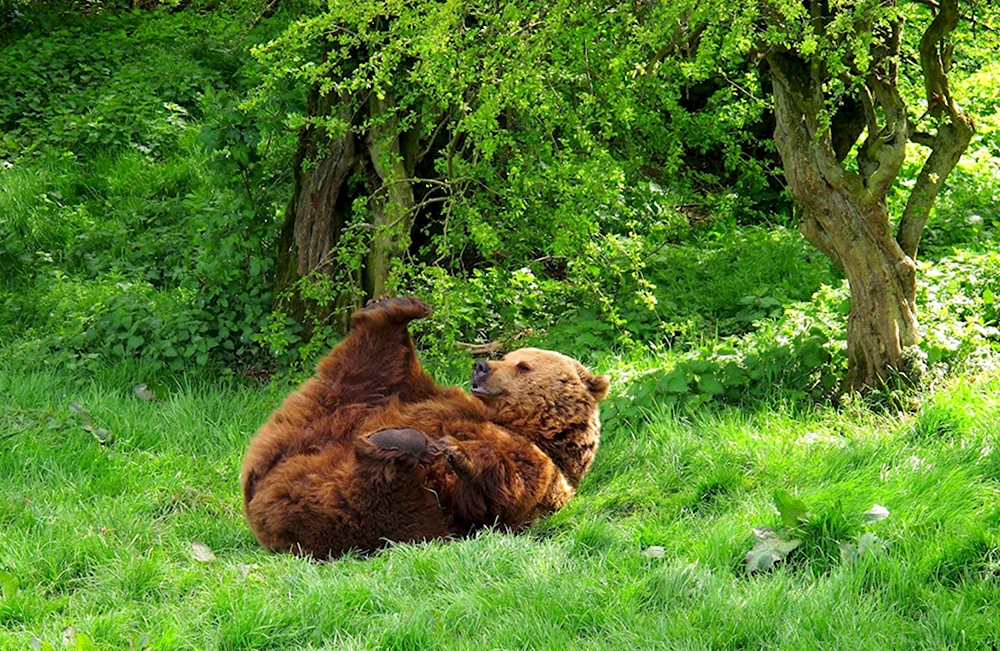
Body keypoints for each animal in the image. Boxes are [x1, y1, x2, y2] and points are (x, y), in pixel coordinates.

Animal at [240, 298, 608, 556]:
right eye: (507, 356)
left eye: (523, 365)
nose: (481, 365)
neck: (522, 423)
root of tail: (258, 494)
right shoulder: (441, 397)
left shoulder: (542, 470)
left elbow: (502, 490)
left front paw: (458, 451)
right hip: (334, 410)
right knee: (368, 367)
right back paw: (391, 310)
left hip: (385, 513)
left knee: (372, 492)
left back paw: (400, 443)